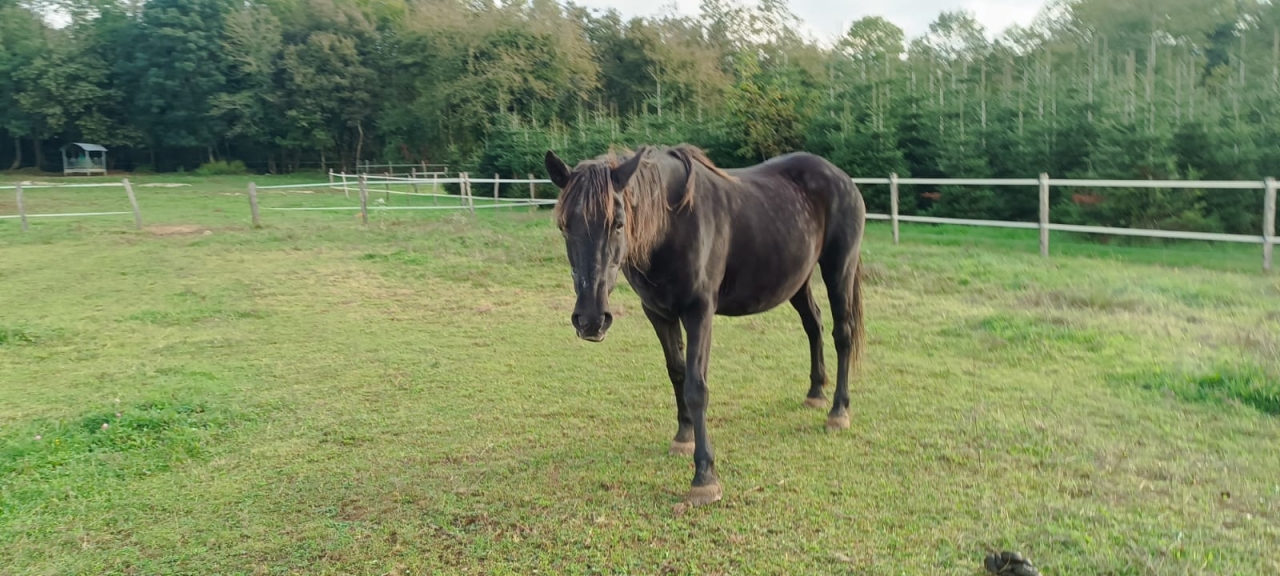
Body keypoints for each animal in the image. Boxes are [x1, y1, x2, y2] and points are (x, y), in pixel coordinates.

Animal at [544, 144, 867, 506]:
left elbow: (697, 387)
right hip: (799, 280)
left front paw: (704, 478)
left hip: (839, 269)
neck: (674, 223)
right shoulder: (657, 313)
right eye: (564, 226)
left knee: (842, 334)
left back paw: (838, 411)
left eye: (618, 223)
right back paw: (815, 393)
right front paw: (683, 437)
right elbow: (677, 373)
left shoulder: (699, 312)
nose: (591, 320)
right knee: (814, 325)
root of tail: (842, 178)